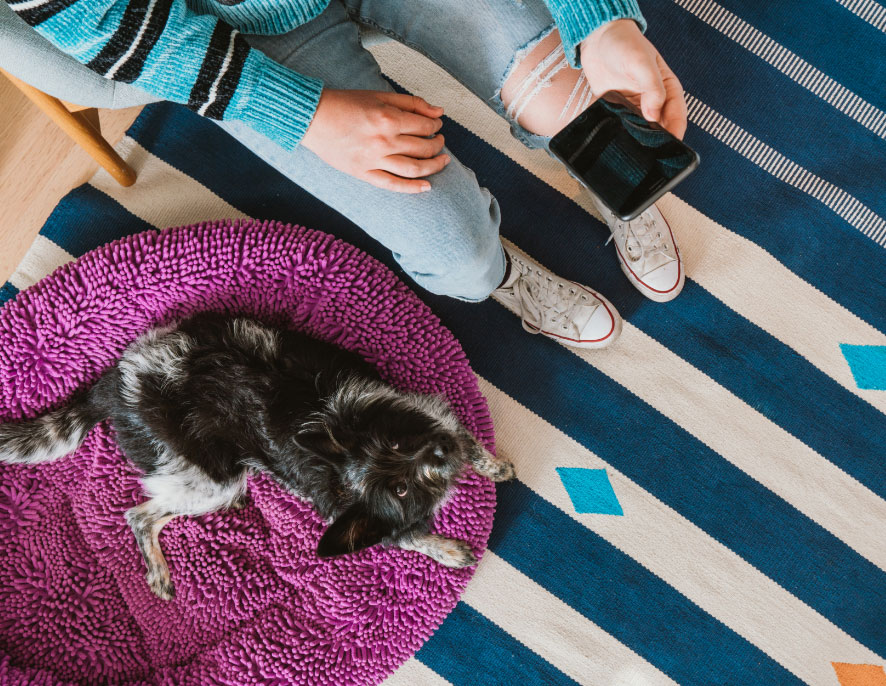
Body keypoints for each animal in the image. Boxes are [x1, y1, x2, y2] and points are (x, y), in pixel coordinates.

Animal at [0, 314, 512, 600]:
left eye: (401, 447)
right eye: (401, 489)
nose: (441, 451)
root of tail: (110, 388)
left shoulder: (430, 417)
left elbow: (468, 440)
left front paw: (491, 464)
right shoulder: (366, 511)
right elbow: (407, 536)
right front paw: (445, 547)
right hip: (212, 478)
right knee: (139, 516)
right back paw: (159, 572)